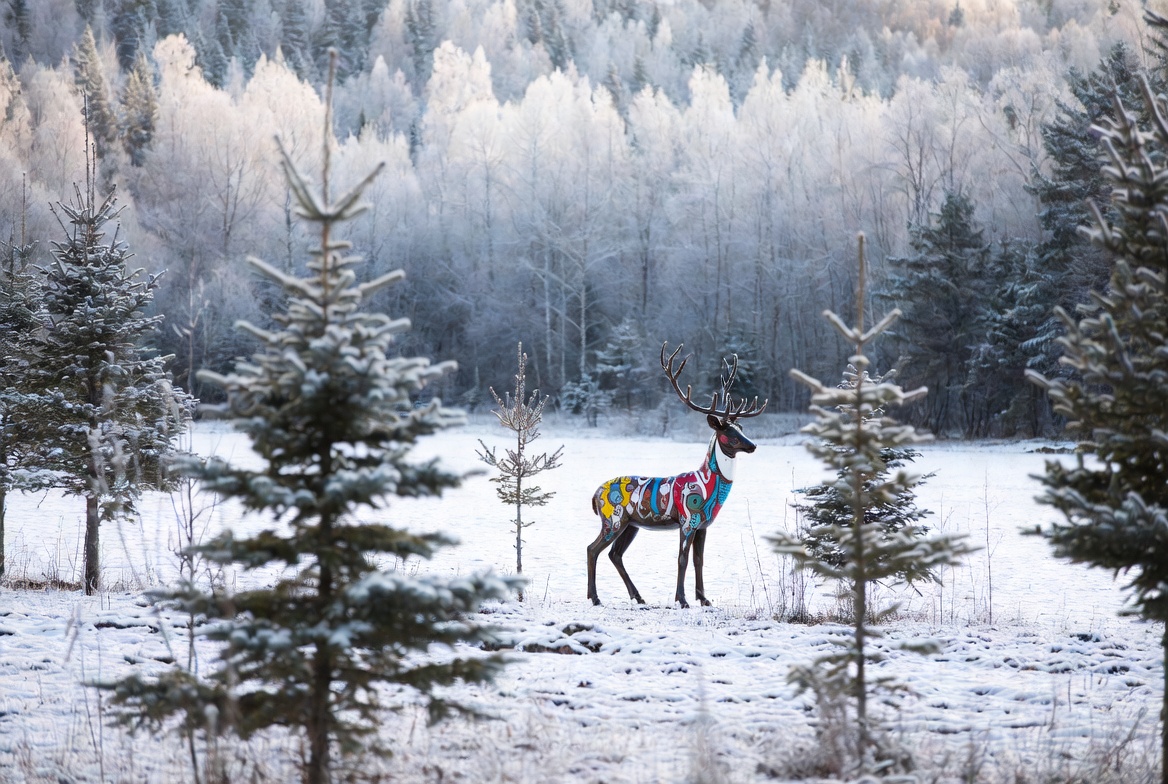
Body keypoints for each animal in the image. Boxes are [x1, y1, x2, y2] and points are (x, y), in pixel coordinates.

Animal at [587, 342, 767, 608]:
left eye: (741, 428)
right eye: (728, 432)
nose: (753, 445)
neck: (708, 485)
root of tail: (594, 495)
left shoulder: (703, 525)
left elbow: (699, 561)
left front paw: (704, 599)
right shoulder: (687, 518)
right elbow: (682, 559)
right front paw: (682, 600)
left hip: (631, 524)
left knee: (614, 554)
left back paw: (638, 596)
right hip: (613, 518)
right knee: (593, 549)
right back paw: (595, 597)